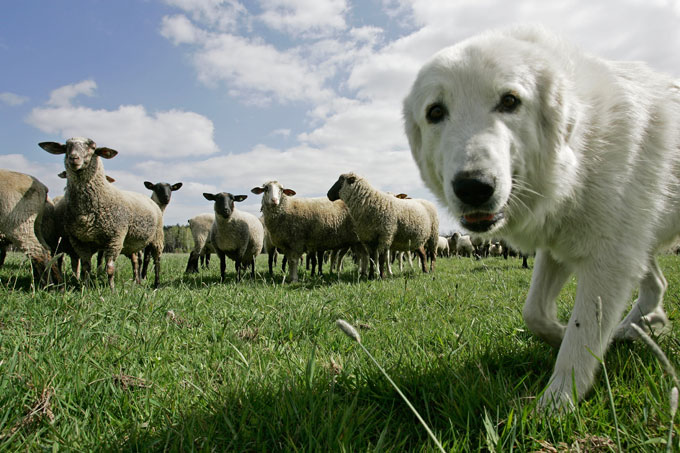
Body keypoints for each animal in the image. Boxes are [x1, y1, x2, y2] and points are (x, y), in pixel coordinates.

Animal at [40, 136, 165, 288]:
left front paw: (112, 289)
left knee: (157, 261)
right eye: (66, 147)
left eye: (93, 147)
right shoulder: (79, 241)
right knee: (135, 261)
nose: (73, 158)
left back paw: (156, 283)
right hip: (130, 244)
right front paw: (85, 287)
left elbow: (110, 268)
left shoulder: (114, 238)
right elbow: (86, 267)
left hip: (156, 238)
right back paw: (136, 281)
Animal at [404, 25, 680, 410]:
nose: (473, 187)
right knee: (657, 284)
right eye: (435, 112)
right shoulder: (559, 244)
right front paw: (563, 336)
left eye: (509, 101)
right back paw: (639, 325)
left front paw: (556, 405)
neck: (579, 152)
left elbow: (582, 337)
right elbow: (534, 313)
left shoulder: (609, 262)